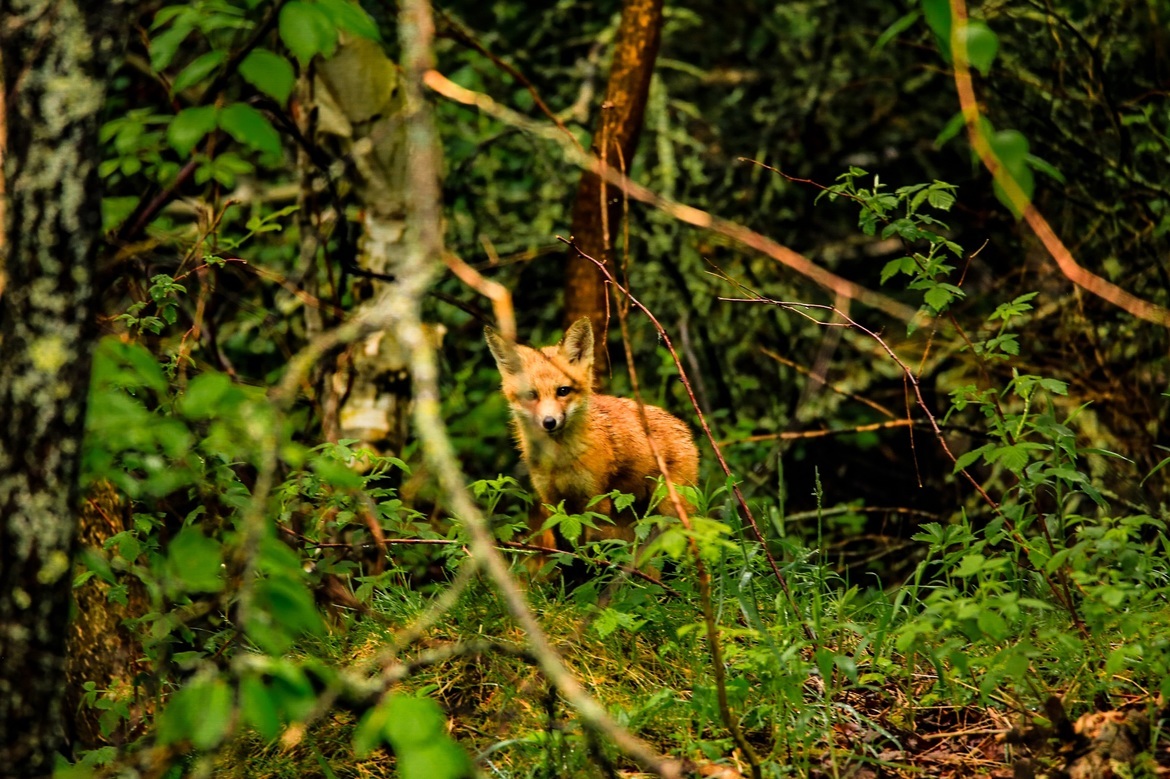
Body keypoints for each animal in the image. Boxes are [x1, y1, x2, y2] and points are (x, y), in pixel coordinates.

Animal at [484, 317, 700, 548]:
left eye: (563, 391)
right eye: (531, 395)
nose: (549, 422)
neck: (559, 461)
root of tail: (681, 424)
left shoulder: (595, 501)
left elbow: (592, 548)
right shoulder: (553, 502)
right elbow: (567, 552)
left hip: (670, 510)